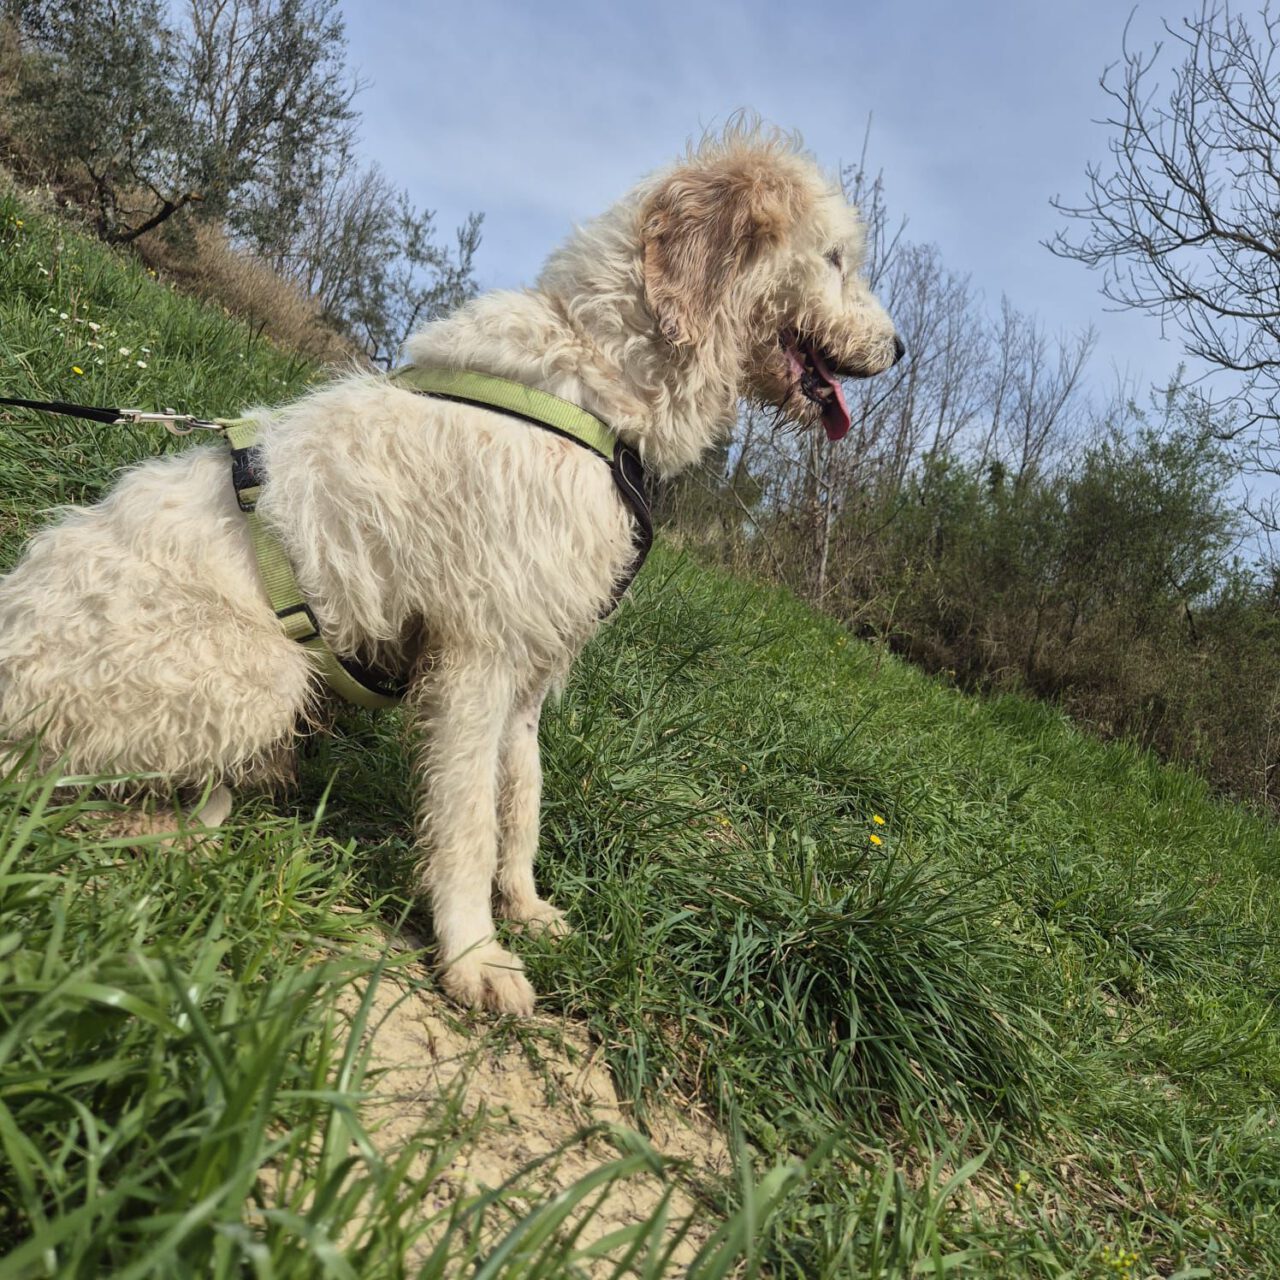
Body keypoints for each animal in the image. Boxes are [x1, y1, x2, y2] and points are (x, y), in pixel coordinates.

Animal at [0, 122, 902, 1014]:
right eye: (833, 257)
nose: (899, 349)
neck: (596, 387)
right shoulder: (475, 659)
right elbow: (468, 819)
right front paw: (473, 953)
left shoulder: (532, 669)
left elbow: (522, 799)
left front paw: (526, 907)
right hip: (260, 675)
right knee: (52, 795)